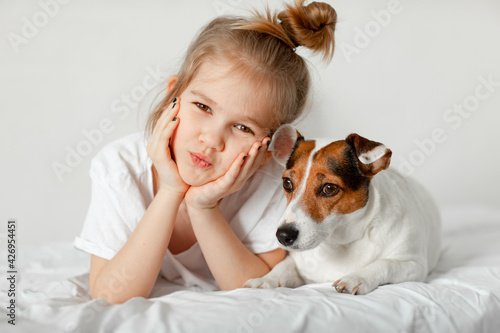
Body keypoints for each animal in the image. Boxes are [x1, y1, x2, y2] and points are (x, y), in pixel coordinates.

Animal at [243, 124, 442, 294]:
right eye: (287, 183)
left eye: (330, 188)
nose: (283, 236)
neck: (341, 243)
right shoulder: (297, 262)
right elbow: (283, 267)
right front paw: (265, 279)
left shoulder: (414, 265)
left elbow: (385, 264)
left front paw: (357, 277)